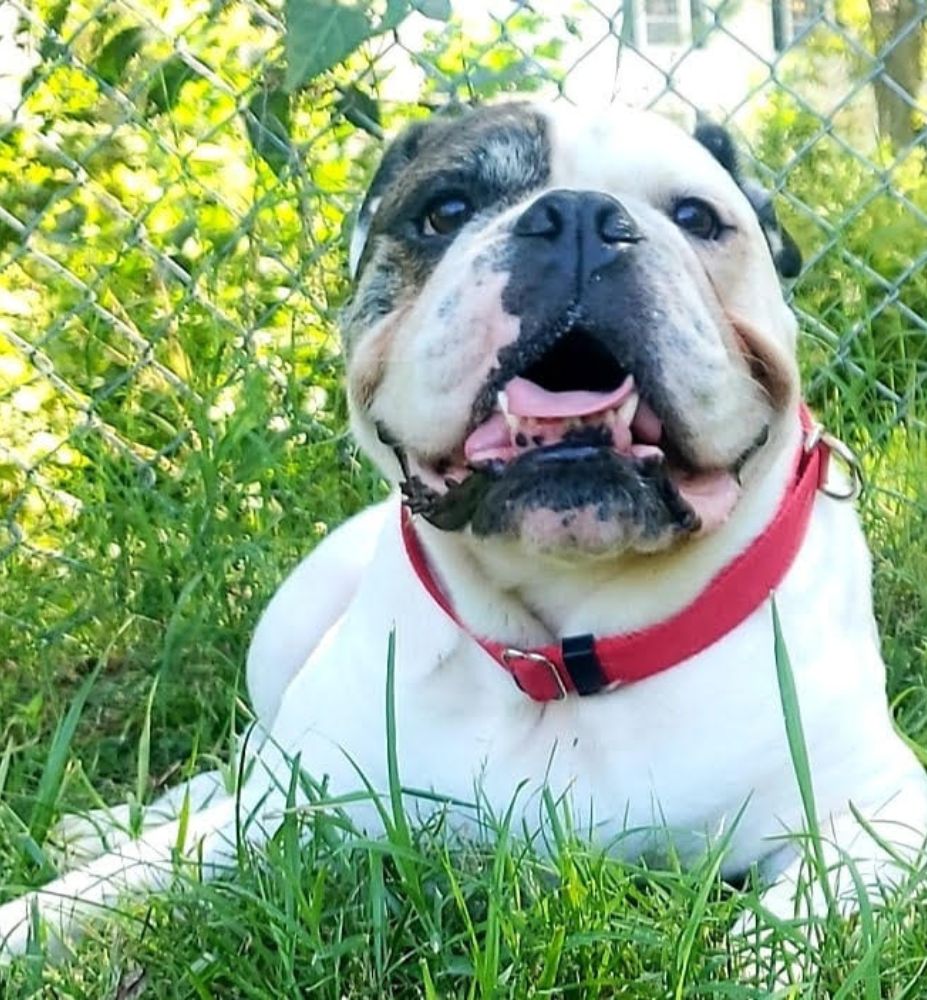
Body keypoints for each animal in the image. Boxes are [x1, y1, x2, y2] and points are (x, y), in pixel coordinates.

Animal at [1, 99, 927, 960]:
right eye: (444, 211)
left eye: (698, 218)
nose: (579, 217)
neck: (561, 655)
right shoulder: (291, 802)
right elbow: (118, 883)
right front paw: (46, 908)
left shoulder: (878, 814)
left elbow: (792, 924)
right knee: (230, 763)